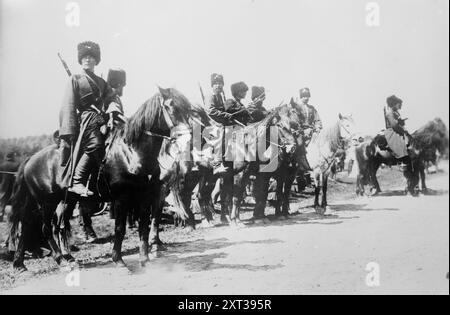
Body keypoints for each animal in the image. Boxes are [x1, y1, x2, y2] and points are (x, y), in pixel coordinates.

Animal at [8, 87, 194, 272]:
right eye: (171, 107)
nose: (188, 138)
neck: (132, 153)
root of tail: (30, 159)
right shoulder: (121, 199)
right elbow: (120, 228)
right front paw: (119, 260)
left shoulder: (145, 197)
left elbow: (144, 226)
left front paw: (145, 260)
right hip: (46, 201)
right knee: (45, 227)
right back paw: (60, 260)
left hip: (60, 200)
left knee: (35, 226)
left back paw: (25, 262)